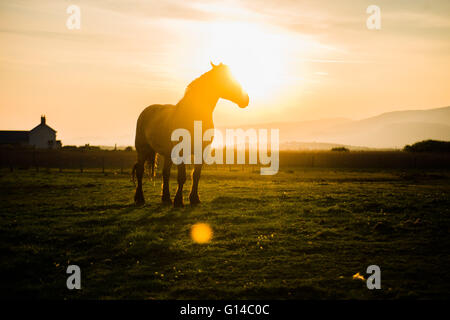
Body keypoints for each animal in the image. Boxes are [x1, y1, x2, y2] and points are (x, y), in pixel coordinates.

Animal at [132, 62, 250, 208]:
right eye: (226, 79)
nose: (246, 99)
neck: (193, 115)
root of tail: (145, 112)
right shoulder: (181, 152)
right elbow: (182, 176)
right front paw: (178, 201)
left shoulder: (202, 151)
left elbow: (196, 175)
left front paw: (194, 199)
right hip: (142, 150)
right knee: (140, 171)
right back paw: (140, 198)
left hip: (167, 154)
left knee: (165, 173)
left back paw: (166, 198)